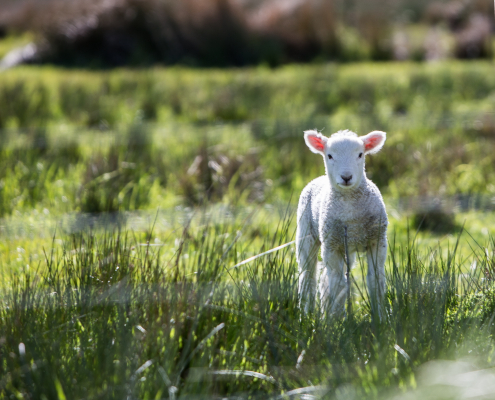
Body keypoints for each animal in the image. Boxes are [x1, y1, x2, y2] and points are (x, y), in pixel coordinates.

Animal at [296, 130, 390, 318]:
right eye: (329, 155)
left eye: (360, 154)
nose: (346, 177)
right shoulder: (332, 246)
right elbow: (338, 285)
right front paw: (338, 320)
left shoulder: (377, 241)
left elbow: (375, 281)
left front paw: (380, 318)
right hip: (306, 234)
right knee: (308, 276)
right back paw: (306, 314)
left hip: (348, 248)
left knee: (325, 278)